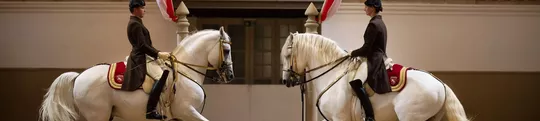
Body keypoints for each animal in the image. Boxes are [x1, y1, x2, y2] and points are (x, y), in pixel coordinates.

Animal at [39, 27, 234, 121]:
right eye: (226, 50)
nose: (230, 76)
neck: (186, 73)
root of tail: (79, 76)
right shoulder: (187, 111)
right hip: (97, 115)